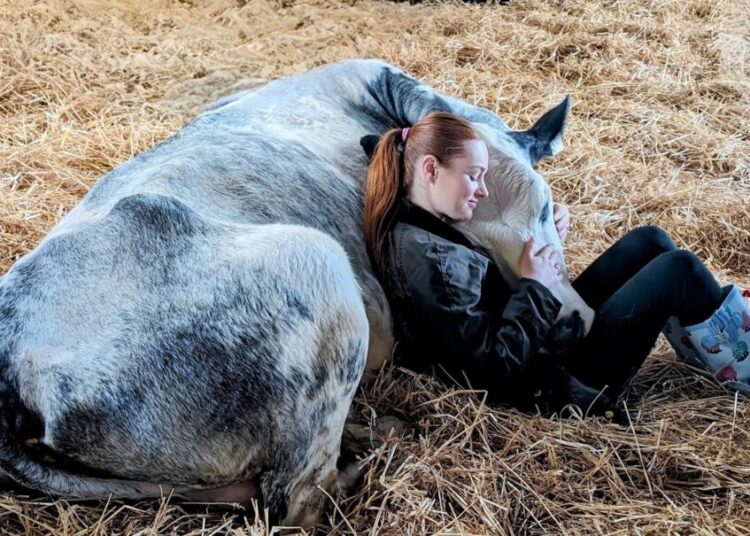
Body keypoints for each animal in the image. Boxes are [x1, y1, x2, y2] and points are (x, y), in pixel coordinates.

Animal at [0, 59, 592, 526]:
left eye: (542, 206)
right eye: (460, 234)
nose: (571, 320)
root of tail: (14, 365)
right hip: (317, 266)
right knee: (298, 498)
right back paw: (375, 449)